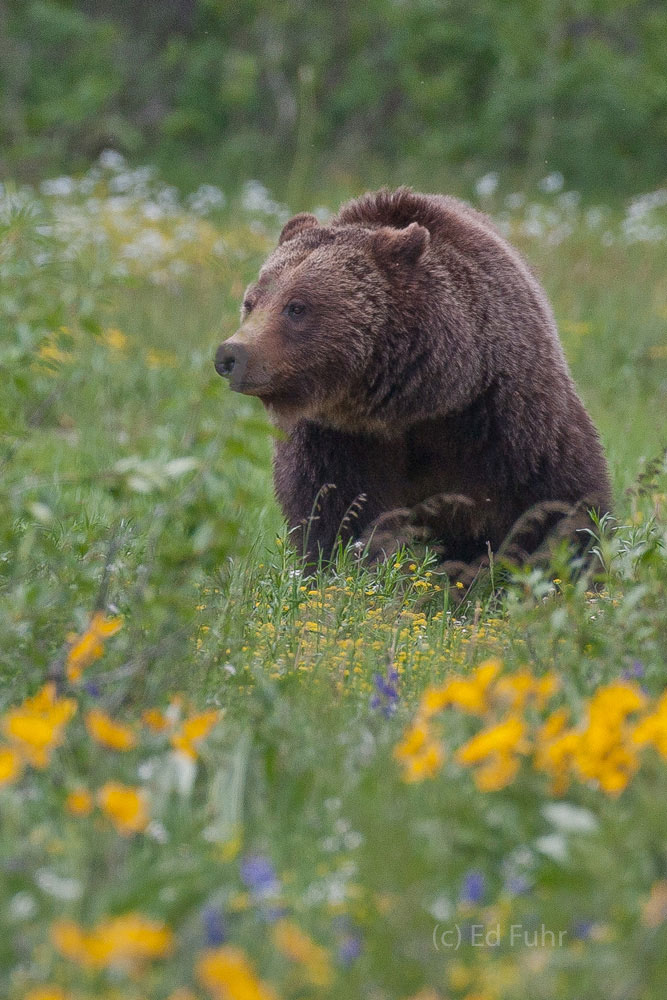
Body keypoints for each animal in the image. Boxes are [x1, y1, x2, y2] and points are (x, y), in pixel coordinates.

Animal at [217, 189, 612, 580]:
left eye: (296, 306)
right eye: (251, 302)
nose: (230, 355)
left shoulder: (507, 416)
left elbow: (557, 501)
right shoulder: (337, 438)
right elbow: (337, 514)